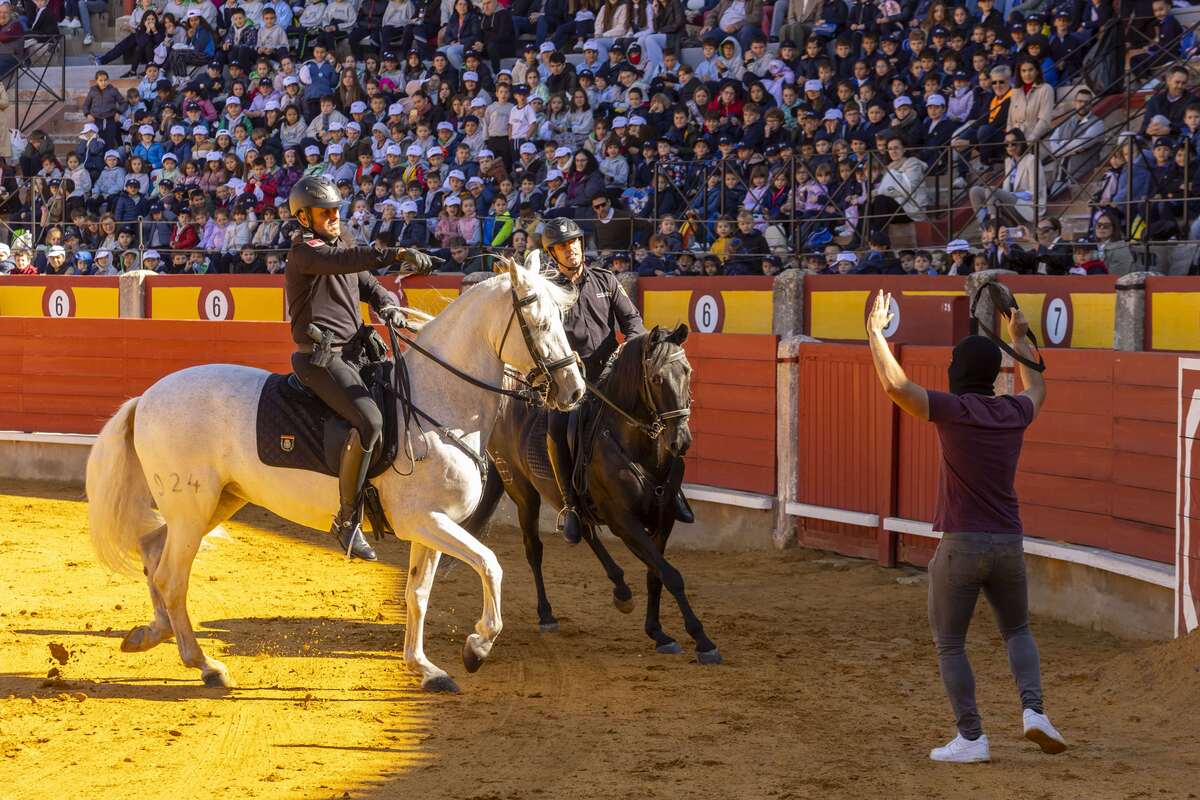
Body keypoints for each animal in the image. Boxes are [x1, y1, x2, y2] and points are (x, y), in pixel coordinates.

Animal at [87, 257, 583, 695]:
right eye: (539, 322)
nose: (574, 390)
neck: (436, 401)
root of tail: (147, 397)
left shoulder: (431, 525)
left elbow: (417, 593)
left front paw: (424, 668)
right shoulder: (423, 521)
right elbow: (490, 564)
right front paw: (477, 647)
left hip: (216, 502)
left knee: (153, 553)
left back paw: (151, 634)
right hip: (192, 508)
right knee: (172, 577)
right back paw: (205, 665)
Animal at [463, 323, 715, 662]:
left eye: (687, 371)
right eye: (656, 378)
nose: (681, 441)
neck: (637, 446)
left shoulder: (664, 520)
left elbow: (656, 575)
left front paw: (659, 633)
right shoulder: (623, 521)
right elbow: (670, 575)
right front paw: (703, 640)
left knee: (584, 529)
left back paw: (621, 590)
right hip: (521, 490)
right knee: (534, 548)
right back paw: (547, 614)